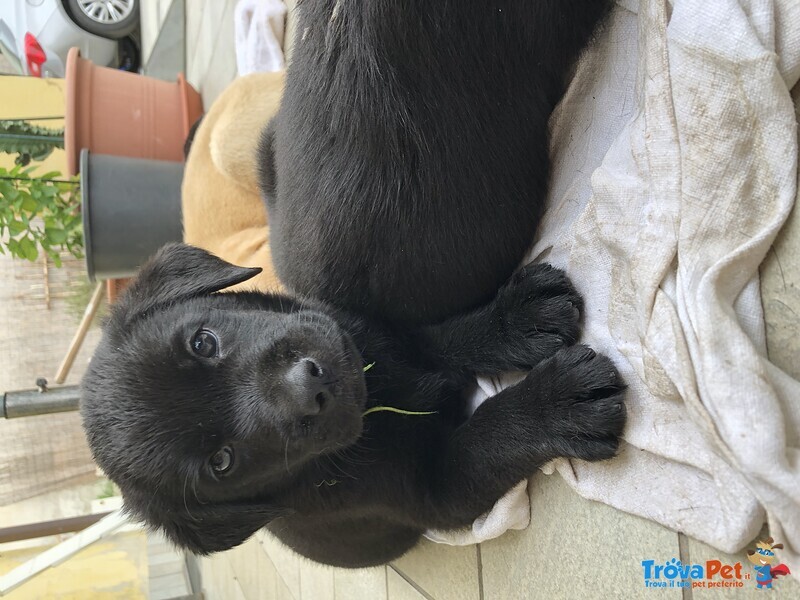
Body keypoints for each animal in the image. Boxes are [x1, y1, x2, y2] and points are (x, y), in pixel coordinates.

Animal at [81, 0, 620, 568]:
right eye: (221, 463)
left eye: (203, 342)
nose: (309, 384)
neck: (379, 389)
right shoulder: (435, 488)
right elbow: (492, 434)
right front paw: (560, 403)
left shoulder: (366, 331)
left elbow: (441, 336)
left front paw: (520, 318)